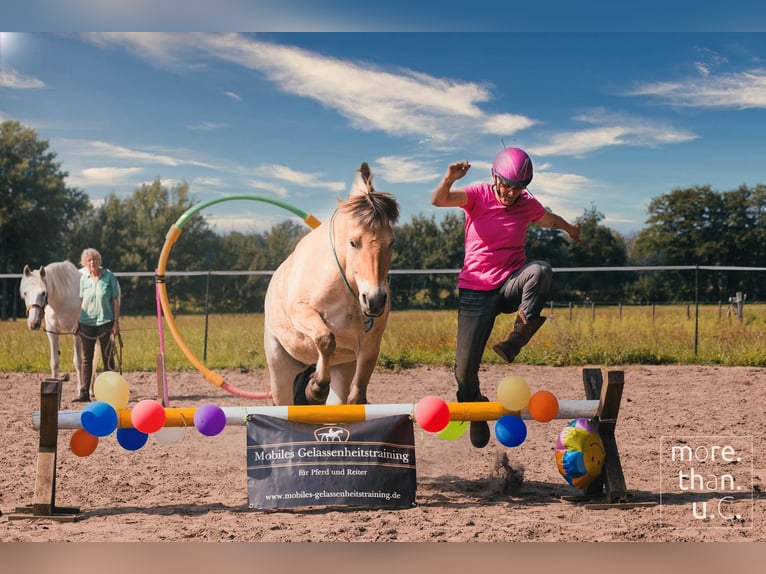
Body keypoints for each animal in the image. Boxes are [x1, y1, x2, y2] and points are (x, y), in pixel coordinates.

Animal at [264, 164, 402, 408]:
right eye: (353, 242)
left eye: (391, 243)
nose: (374, 300)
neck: (347, 290)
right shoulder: (301, 311)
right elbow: (325, 339)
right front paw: (315, 389)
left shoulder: (370, 343)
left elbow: (359, 388)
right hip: (280, 369)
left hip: (342, 369)